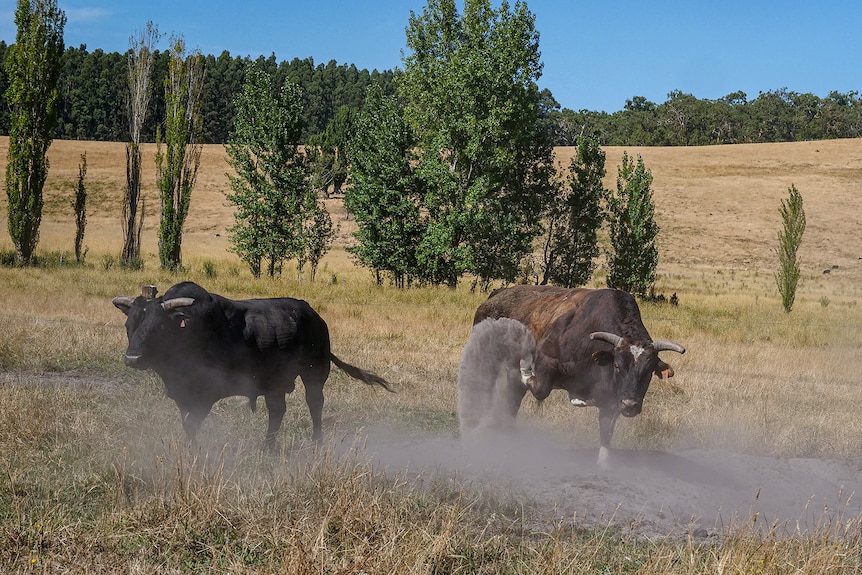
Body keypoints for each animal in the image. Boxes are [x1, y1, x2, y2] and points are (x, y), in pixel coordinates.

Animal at [112, 281, 394, 448]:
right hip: (275, 383)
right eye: (129, 325)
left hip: (314, 372)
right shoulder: (183, 396)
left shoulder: (206, 395)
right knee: (277, 410)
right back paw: (268, 446)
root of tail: (314, 316)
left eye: (159, 327)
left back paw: (316, 440)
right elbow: (186, 424)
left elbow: (193, 424)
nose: (132, 359)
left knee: (315, 404)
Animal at [473, 285, 685, 466]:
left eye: (648, 371)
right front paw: (526, 371)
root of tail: (497, 295)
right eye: (617, 366)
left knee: (512, 400)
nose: (630, 405)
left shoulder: (611, 401)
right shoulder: (546, 364)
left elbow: (606, 431)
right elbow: (540, 389)